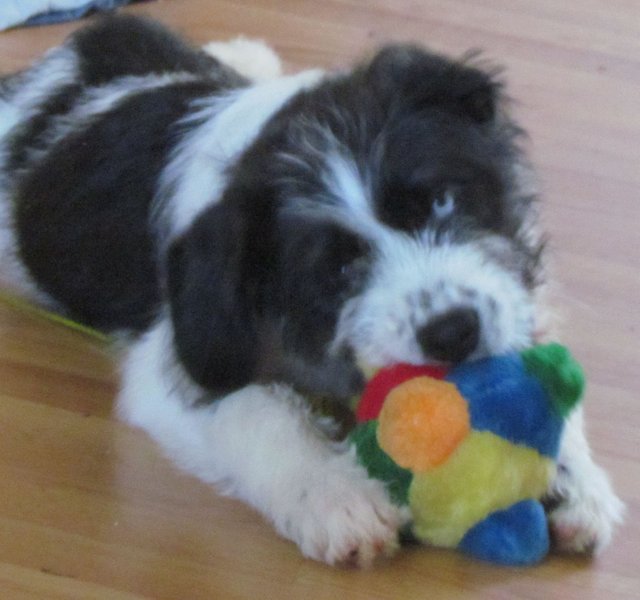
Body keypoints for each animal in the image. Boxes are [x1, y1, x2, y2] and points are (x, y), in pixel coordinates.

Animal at [0, 15, 624, 568]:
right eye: (339, 269)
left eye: (443, 201)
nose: (453, 331)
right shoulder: (179, 355)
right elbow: (257, 412)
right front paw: (337, 497)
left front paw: (573, 479)